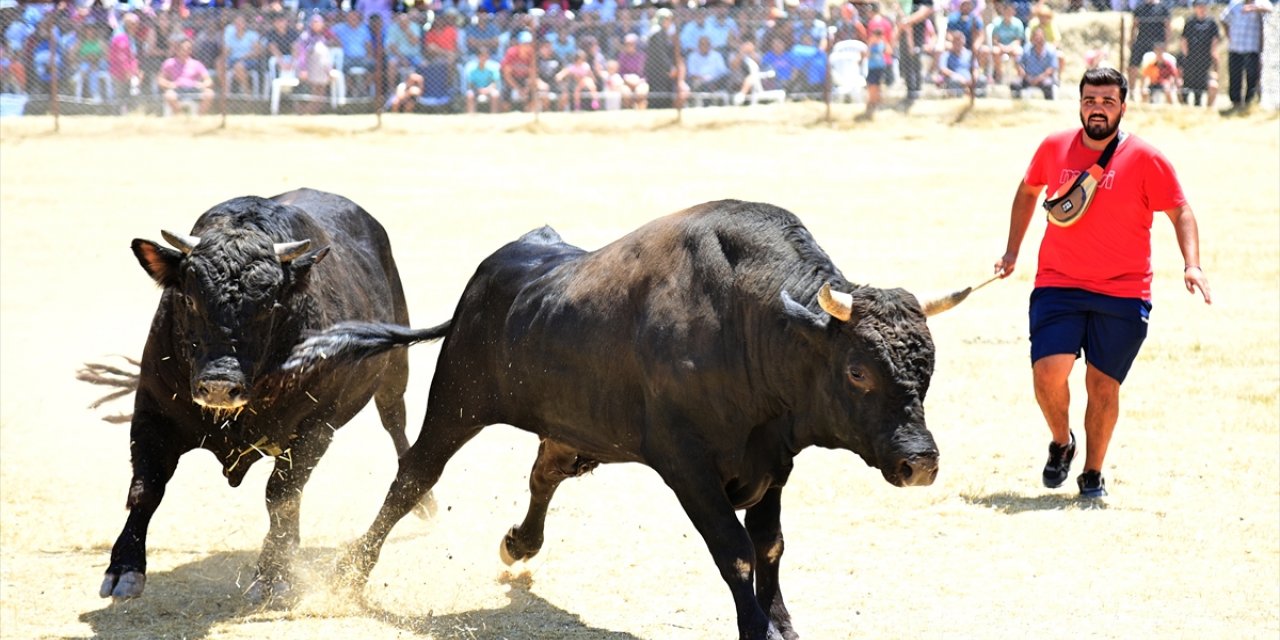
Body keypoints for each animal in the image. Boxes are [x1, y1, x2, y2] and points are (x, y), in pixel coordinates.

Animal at [94, 186, 440, 601]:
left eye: (269, 306)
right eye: (189, 300)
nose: (219, 385)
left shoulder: (315, 428)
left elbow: (281, 495)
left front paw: (274, 572)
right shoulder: (151, 411)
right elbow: (145, 488)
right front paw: (124, 569)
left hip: (394, 369)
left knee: (395, 424)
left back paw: (424, 502)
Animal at [285, 199, 972, 640]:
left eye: (930, 365)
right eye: (857, 371)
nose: (919, 462)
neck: (750, 322)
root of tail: (484, 283)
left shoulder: (772, 463)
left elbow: (770, 545)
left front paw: (782, 624)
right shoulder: (688, 467)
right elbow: (736, 551)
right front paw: (756, 629)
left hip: (571, 429)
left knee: (543, 475)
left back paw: (519, 543)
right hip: (456, 404)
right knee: (413, 479)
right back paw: (349, 575)